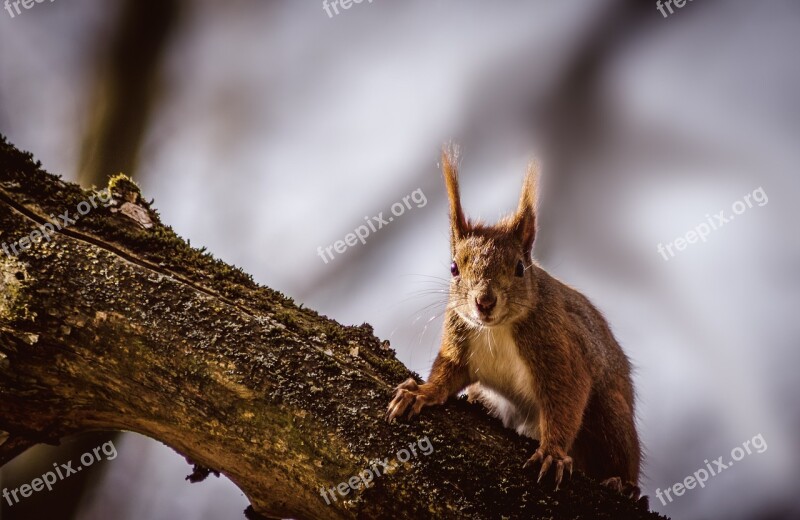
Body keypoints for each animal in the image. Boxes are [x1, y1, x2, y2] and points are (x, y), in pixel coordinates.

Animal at [388, 143, 644, 500]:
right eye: (454, 268)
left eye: (520, 268)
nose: (484, 302)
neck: (495, 329)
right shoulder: (458, 342)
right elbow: (446, 372)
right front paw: (421, 392)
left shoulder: (558, 348)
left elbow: (566, 398)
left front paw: (552, 453)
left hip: (610, 413)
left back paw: (622, 482)